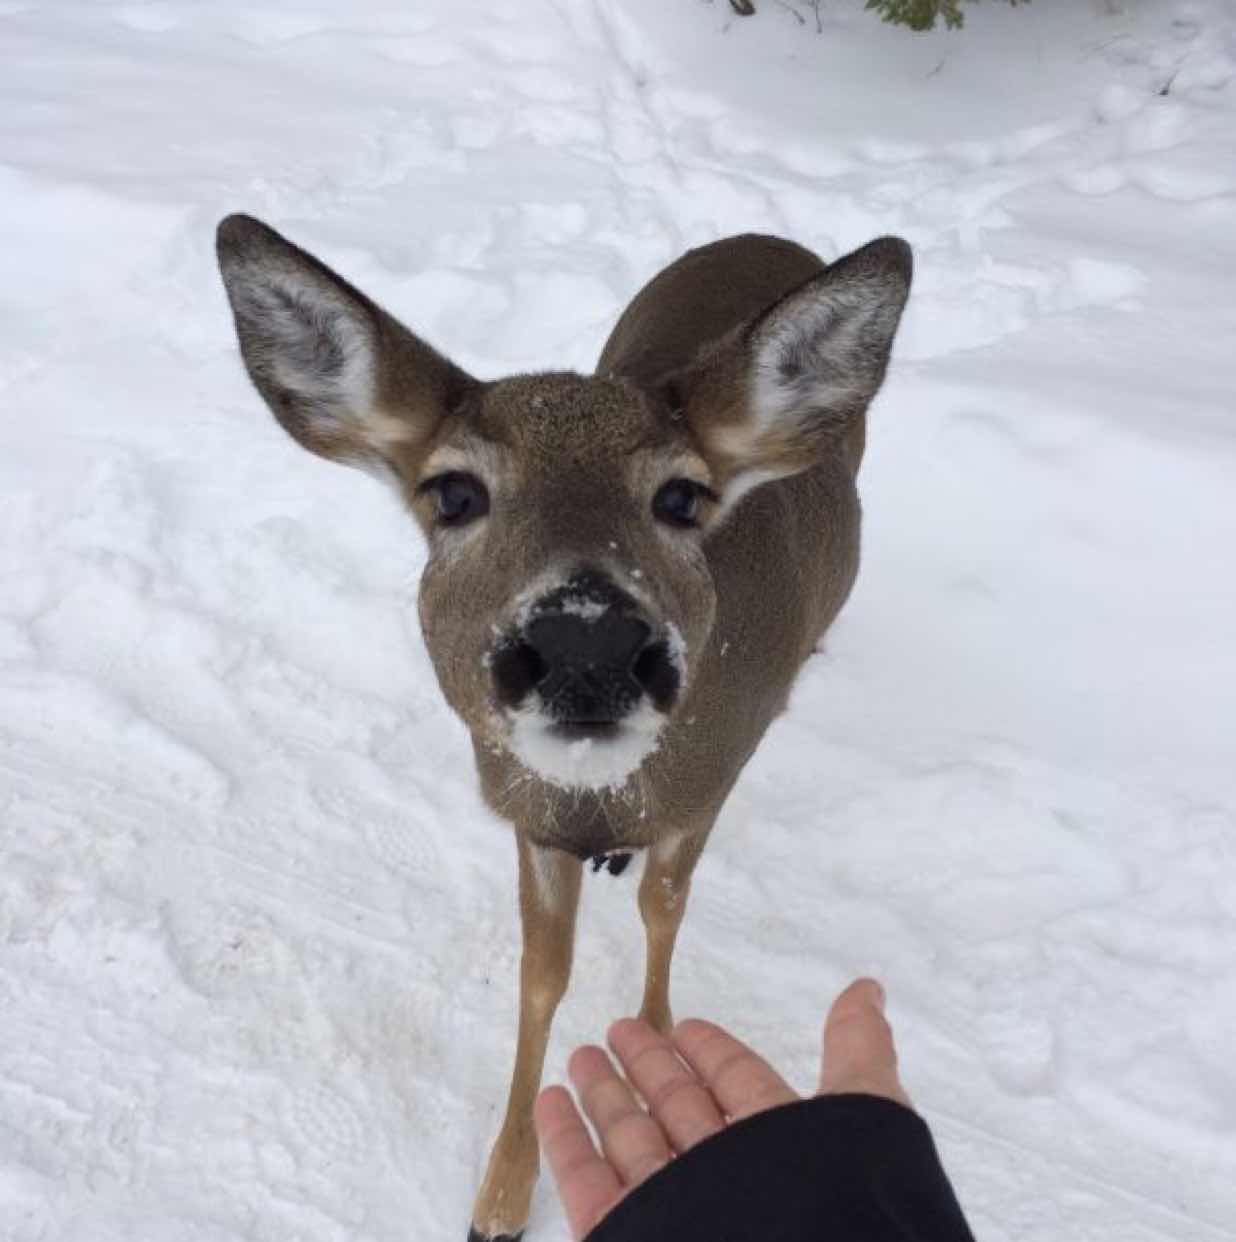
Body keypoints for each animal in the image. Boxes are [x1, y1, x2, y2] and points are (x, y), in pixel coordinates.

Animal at [217, 216, 909, 1242]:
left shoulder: (714, 778)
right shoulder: (528, 816)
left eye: (682, 497)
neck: (602, 803)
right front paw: (501, 1193)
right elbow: (542, 973)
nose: (588, 640)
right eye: (454, 493)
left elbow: (665, 907)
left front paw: (660, 1058)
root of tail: (760, 234)